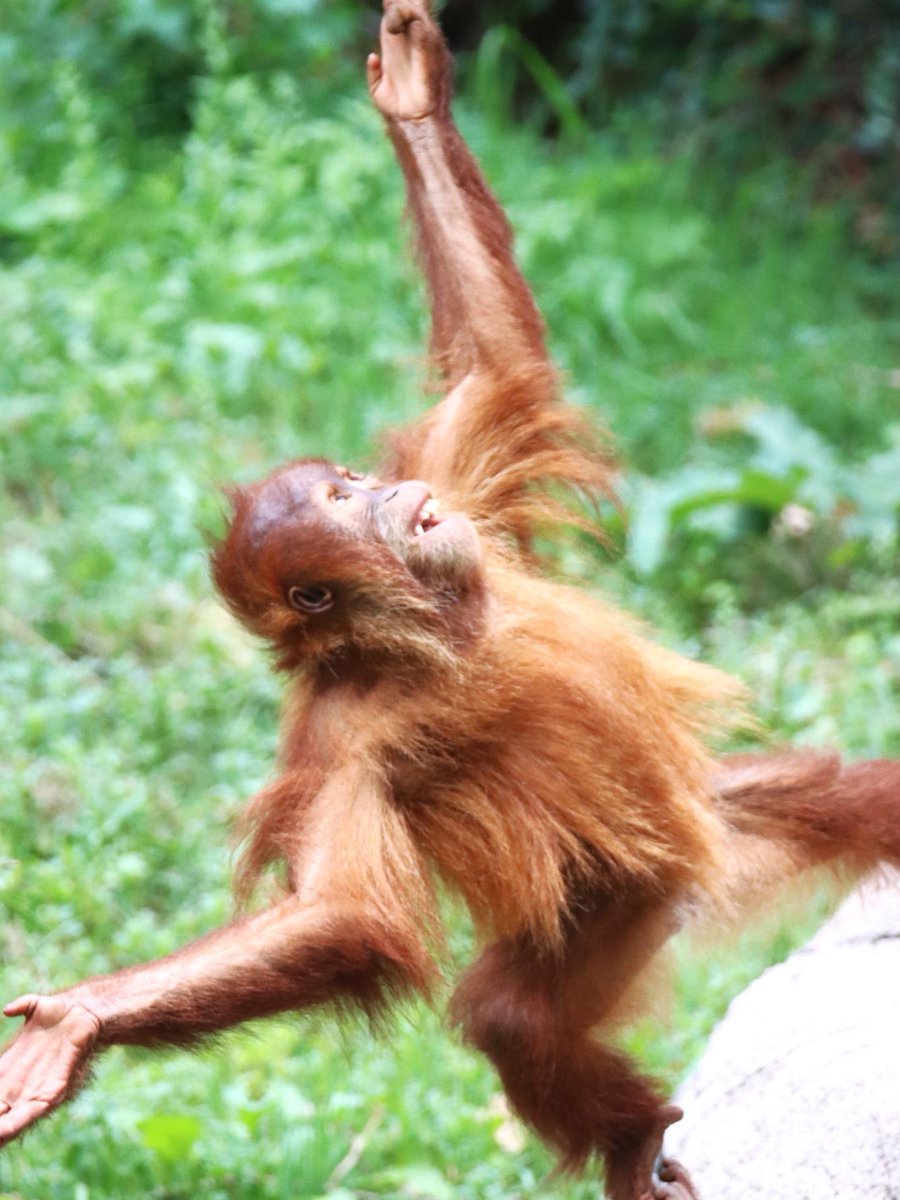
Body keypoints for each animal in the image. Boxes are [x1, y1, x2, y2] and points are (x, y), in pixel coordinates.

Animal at [1, 5, 897, 1199]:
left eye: (353, 477)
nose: (391, 496)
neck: (449, 625)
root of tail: (676, 879)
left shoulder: (459, 475)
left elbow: (488, 356)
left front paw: (414, 97)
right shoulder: (338, 740)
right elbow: (345, 912)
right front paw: (84, 1018)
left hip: (700, 816)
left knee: (849, 798)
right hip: (590, 913)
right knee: (514, 1016)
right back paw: (635, 1139)